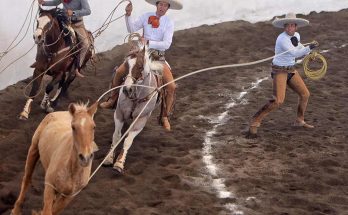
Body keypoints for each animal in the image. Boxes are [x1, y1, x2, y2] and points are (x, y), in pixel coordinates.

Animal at [102, 45, 164, 173]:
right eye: (126, 65)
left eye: (140, 66)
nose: (127, 89)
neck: (136, 96)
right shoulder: (119, 114)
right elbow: (116, 137)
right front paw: (109, 158)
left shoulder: (141, 120)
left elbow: (128, 140)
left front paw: (119, 163)